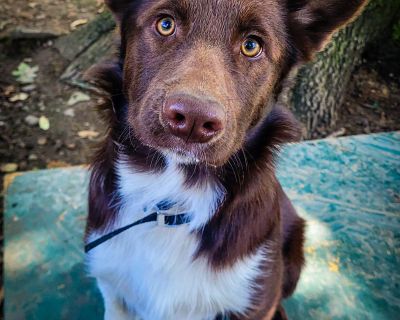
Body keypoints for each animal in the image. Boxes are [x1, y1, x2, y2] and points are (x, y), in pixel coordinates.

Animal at [84, 1, 366, 318]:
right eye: (165, 24)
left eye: (252, 45)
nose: (193, 120)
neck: (172, 202)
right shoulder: (113, 289)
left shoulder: (257, 300)